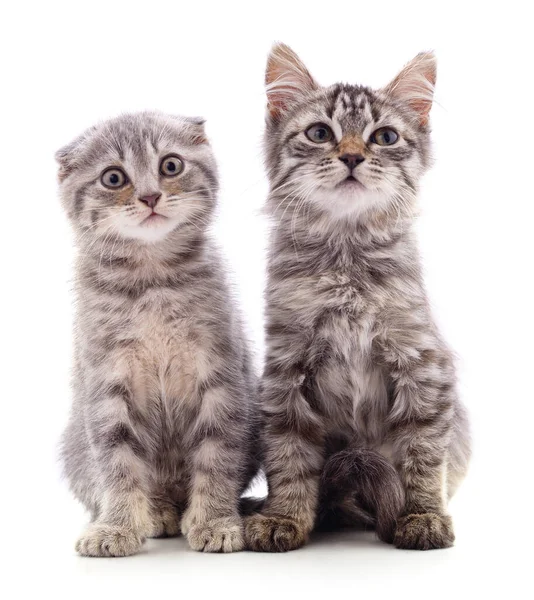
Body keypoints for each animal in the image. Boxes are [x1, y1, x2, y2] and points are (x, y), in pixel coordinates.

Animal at [56, 113, 262, 556]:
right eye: (113, 178)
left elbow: (218, 453)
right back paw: (158, 511)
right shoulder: (106, 382)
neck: (151, 280)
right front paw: (116, 527)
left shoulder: (220, 373)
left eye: (171, 165)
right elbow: (117, 461)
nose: (150, 196)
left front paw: (216, 521)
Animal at [245, 44, 472, 552]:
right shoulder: (286, 370)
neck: (346, 259)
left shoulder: (422, 365)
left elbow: (422, 455)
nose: (351, 157)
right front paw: (283, 518)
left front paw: (423, 516)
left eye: (384, 137)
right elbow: (289, 457)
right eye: (320, 133)